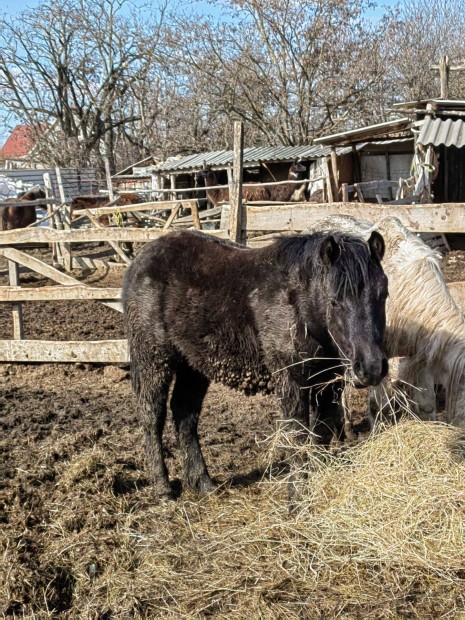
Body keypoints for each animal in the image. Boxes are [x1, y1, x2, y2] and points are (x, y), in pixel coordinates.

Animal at [121, 229, 386, 498]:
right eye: (334, 301)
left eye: (382, 295)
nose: (372, 368)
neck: (298, 306)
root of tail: (141, 258)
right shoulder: (291, 383)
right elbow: (298, 438)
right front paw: (296, 498)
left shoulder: (328, 385)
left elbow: (321, 435)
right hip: (154, 359)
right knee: (152, 415)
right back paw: (163, 488)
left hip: (193, 366)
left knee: (184, 413)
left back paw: (204, 485)